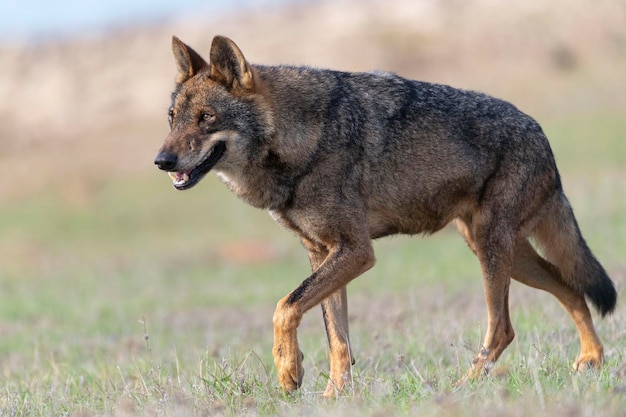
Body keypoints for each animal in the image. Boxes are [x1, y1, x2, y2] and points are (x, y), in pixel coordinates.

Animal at [152, 35, 616, 394]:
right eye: (173, 118)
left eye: (206, 118)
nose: (161, 161)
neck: (300, 142)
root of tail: (542, 134)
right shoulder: (321, 253)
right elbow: (336, 338)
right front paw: (334, 395)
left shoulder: (356, 252)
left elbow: (284, 307)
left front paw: (289, 372)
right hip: (503, 254)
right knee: (570, 288)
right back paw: (592, 360)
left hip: (492, 252)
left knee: (503, 328)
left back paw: (461, 389)